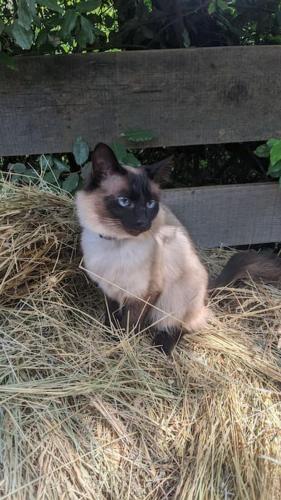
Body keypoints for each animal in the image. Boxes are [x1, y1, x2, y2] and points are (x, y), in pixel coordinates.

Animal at [75, 143, 280, 354]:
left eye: (150, 204)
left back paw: (161, 348)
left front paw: (123, 348)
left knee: (181, 326)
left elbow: (130, 324)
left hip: (176, 297)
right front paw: (109, 339)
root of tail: (206, 289)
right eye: (125, 201)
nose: (143, 223)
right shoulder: (109, 289)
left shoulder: (144, 294)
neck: (115, 244)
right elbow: (111, 318)